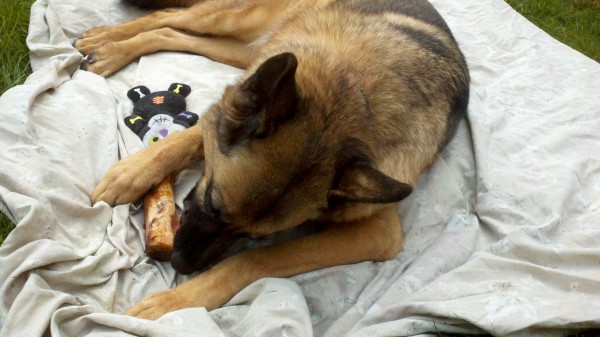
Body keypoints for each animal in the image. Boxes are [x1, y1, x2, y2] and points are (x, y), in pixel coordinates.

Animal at [78, 0, 468, 318]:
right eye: (212, 204)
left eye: (252, 234)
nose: (179, 264)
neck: (345, 100)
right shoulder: (241, 101)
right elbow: (195, 133)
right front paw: (131, 173)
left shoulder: (377, 233)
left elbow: (256, 257)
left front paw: (177, 300)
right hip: (239, 24)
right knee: (169, 17)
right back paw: (107, 43)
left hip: (248, 50)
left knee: (174, 33)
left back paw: (109, 48)